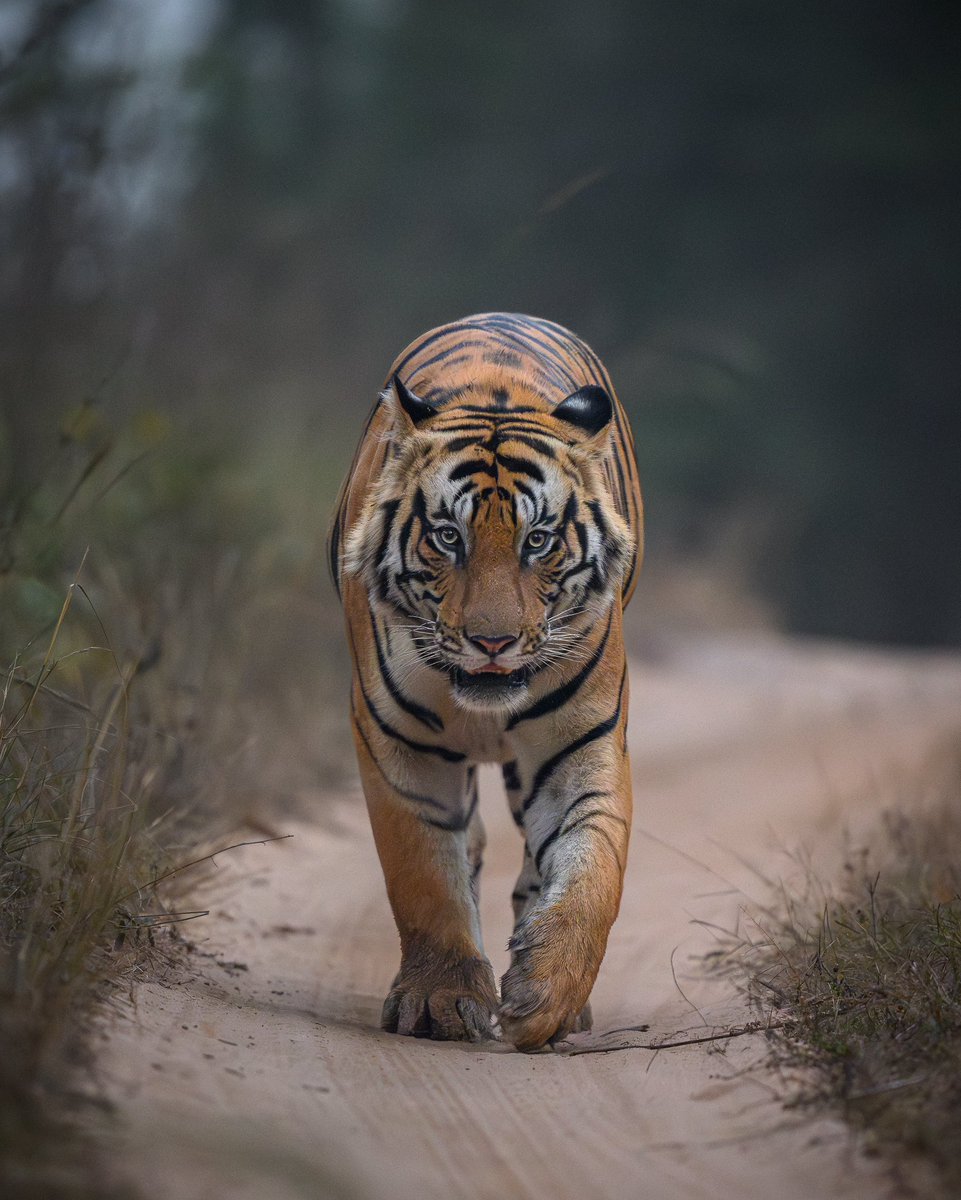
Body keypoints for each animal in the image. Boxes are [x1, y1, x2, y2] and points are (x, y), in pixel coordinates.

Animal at [328, 312, 643, 1051]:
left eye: (537, 541)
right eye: (448, 537)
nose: (492, 642)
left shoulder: (583, 744)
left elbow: (594, 869)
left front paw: (547, 995)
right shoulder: (399, 746)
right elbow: (424, 873)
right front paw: (441, 1001)